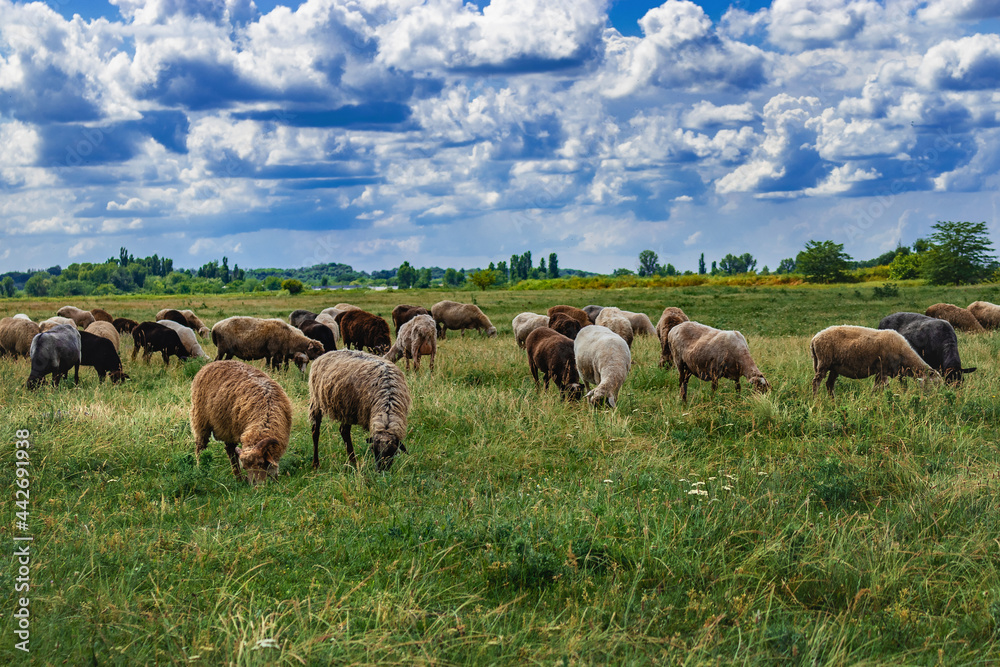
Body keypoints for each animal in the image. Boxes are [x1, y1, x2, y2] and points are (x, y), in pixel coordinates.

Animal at [809, 325, 939, 398]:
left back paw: (833, 401)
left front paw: (872, 398)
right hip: (823, 362)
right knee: (816, 382)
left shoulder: (881, 372)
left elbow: (876, 387)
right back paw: (815, 400)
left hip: (834, 366)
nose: (935, 399)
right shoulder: (883, 369)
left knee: (829, 384)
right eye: (933, 384)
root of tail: (815, 338)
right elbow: (886, 388)